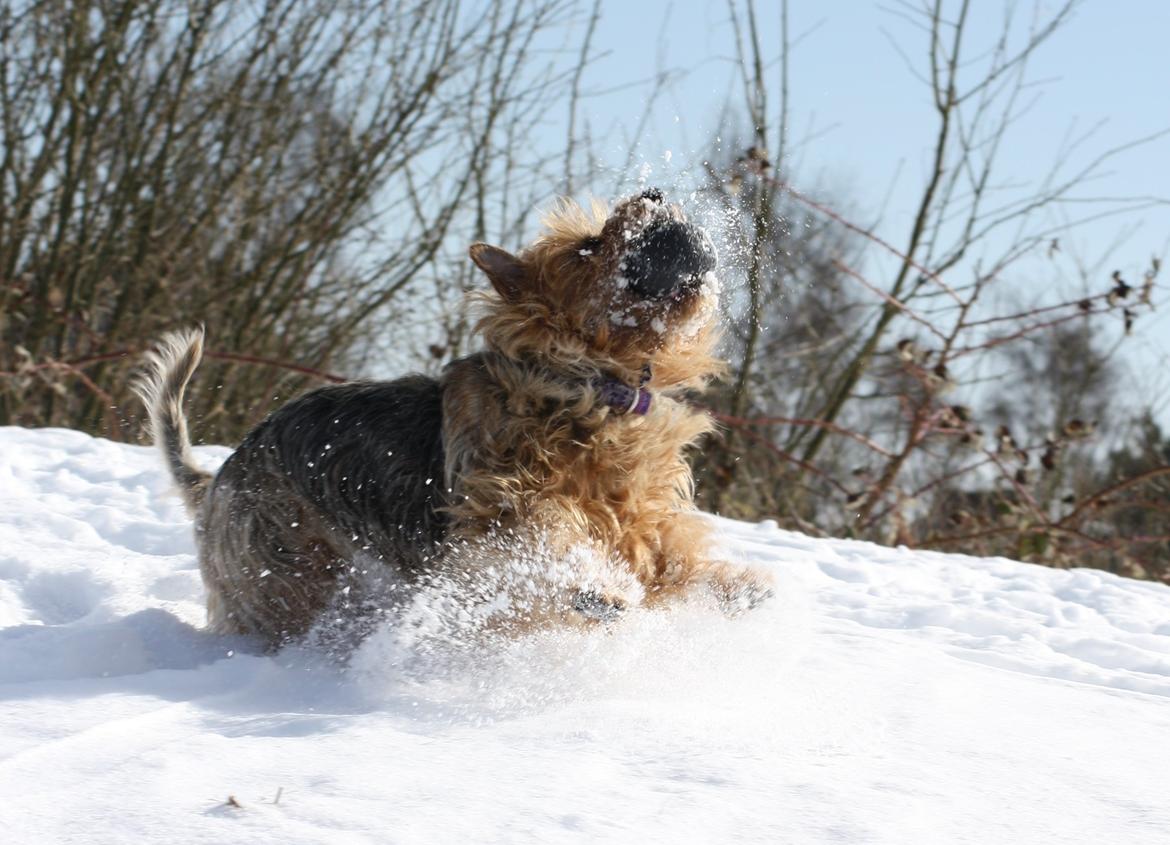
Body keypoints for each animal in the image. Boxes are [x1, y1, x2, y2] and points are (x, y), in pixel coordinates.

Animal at [136, 187, 772, 646]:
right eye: (587, 247)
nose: (654, 191)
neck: (588, 386)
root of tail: (217, 478)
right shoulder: (498, 508)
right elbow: (544, 535)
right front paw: (595, 587)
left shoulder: (641, 515)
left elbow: (667, 558)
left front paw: (730, 584)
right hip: (285, 576)